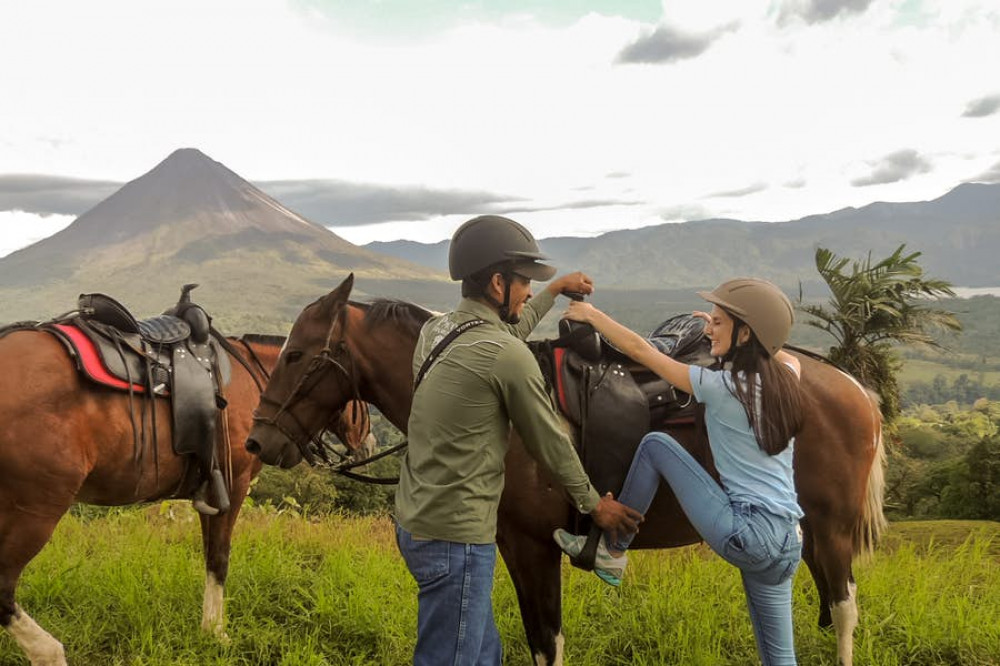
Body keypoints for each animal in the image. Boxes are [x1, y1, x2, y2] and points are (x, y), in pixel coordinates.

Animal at [0, 326, 374, 664]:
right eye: (359, 392)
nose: (367, 440)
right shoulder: (233, 486)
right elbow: (219, 559)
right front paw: (216, 633)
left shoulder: (209, 494)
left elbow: (209, 557)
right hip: (36, 511)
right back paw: (47, 652)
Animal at [246, 272, 888, 660]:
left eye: (296, 355)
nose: (257, 441)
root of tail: (851, 387)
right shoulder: (512, 545)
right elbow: (537, 638)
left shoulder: (535, 547)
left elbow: (547, 641)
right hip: (805, 529)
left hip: (831, 528)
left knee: (845, 609)